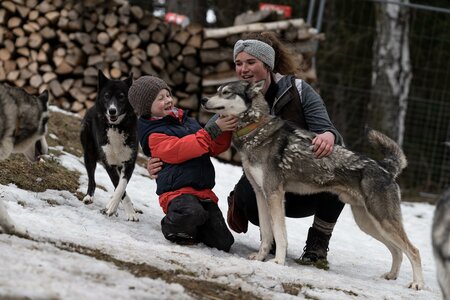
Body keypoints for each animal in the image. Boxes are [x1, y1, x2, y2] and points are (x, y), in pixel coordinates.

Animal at [81, 70, 140, 220]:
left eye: (121, 97)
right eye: (107, 96)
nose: (112, 111)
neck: (116, 127)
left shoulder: (129, 162)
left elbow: (121, 186)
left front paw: (126, 210)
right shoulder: (108, 162)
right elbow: (119, 187)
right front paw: (114, 208)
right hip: (89, 154)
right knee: (92, 179)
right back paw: (89, 197)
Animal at [202, 79, 424, 288]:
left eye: (226, 92)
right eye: (217, 90)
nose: (204, 99)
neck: (255, 128)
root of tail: (386, 167)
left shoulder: (274, 195)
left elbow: (279, 234)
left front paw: (278, 262)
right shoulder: (260, 194)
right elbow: (266, 234)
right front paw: (259, 258)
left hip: (381, 220)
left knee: (413, 250)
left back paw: (417, 284)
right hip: (368, 223)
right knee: (397, 250)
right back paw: (391, 275)